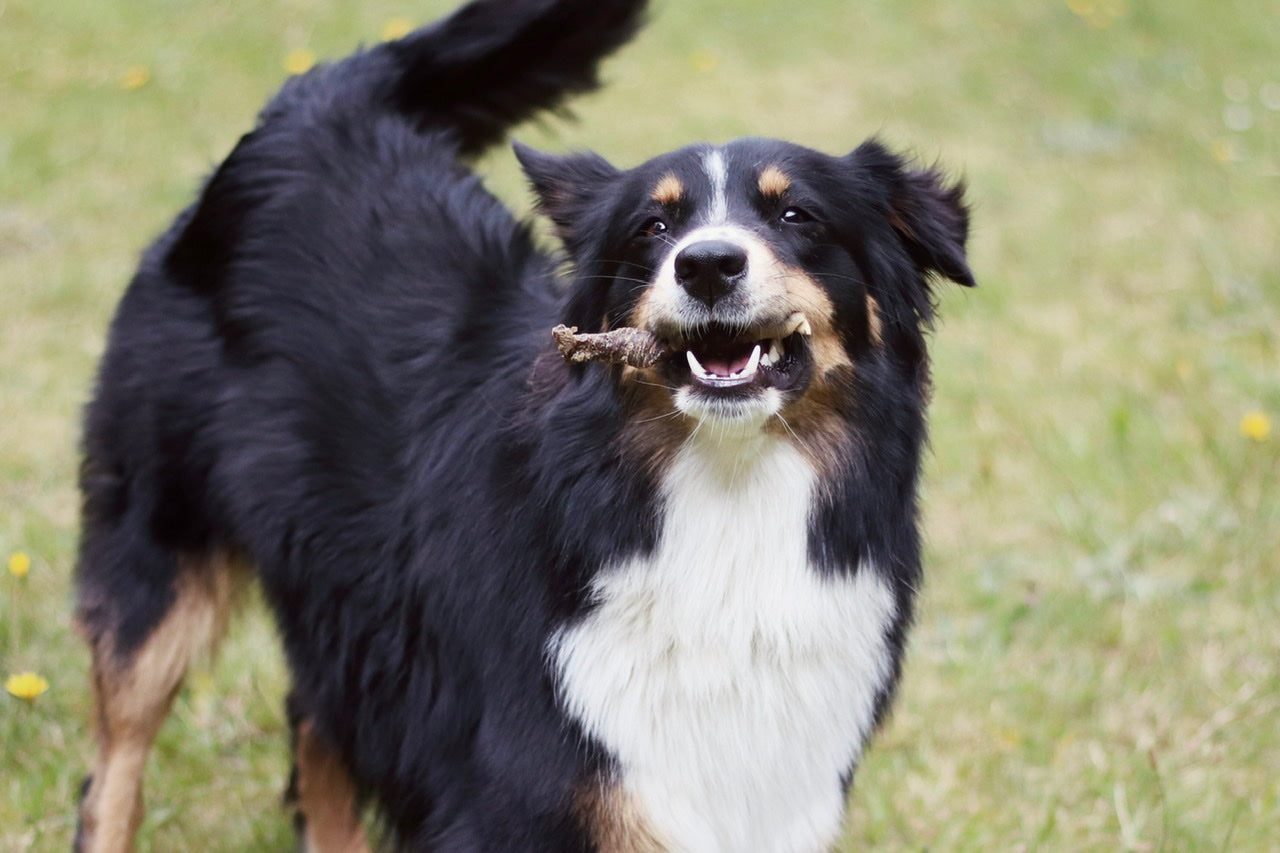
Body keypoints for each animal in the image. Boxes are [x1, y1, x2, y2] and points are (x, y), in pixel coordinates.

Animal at [74, 1, 972, 845]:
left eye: (798, 217)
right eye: (654, 226)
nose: (708, 264)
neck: (727, 482)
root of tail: (318, 99)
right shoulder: (519, 781)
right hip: (162, 546)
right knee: (117, 762)